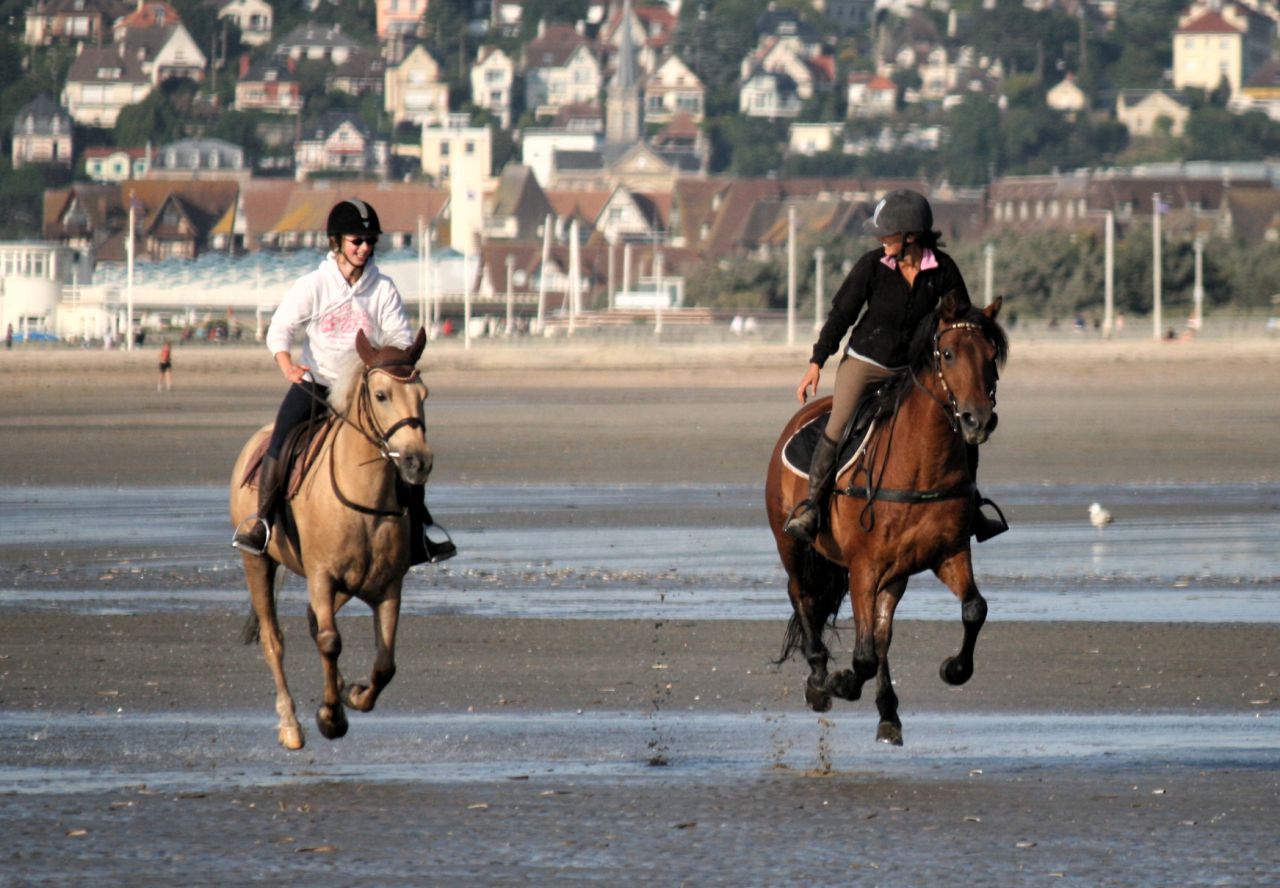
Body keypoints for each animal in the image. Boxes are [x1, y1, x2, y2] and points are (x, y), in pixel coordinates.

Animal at [229, 328, 433, 750]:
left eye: (424, 395)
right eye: (381, 395)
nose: (417, 462)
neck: (364, 500)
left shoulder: (388, 586)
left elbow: (385, 664)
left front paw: (353, 694)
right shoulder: (322, 577)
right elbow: (329, 642)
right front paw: (331, 717)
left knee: (311, 621)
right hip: (257, 561)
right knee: (274, 639)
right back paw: (290, 725)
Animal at [765, 293, 1007, 746]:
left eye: (991, 357)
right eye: (948, 354)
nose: (978, 420)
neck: (921, 465)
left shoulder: (947, 554)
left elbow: (973, 609)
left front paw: (953, 669)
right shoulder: (864, 566)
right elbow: (862, 655)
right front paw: (839, 682)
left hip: (895, 573)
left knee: (880, 633)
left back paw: (887, 713)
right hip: (791, 545)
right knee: (803, 597)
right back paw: (819, 679)